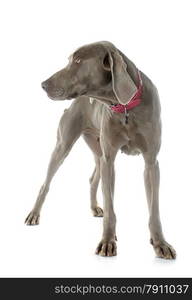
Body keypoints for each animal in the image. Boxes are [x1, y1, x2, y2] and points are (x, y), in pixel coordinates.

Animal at [25, 41, 176, 258]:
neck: (125, 108)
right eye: (70, 59)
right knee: (46, 183)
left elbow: (154, 209)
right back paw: (34, 214)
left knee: (93, 178)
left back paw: (95, 207)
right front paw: (107, 242)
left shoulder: (151, 162)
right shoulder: (109, 159)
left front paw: (160, 243)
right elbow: (110, 207)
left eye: (78, 61)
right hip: (64, 145)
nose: (43, 84)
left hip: (98, 150)